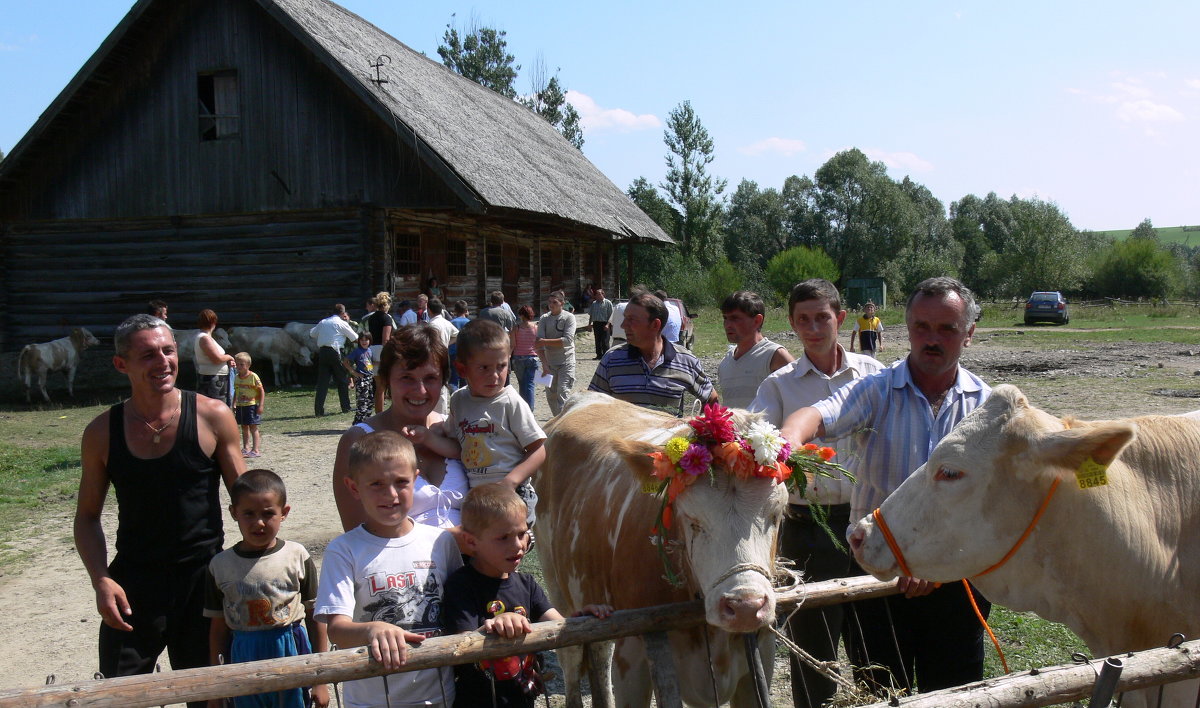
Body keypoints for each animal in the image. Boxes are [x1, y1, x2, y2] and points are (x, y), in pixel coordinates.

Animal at [542, 393, 787, 708]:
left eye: (776, 514)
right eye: (692, 521)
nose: (745, 606)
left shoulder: (760, 655)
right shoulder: (632, 658)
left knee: (598, 653)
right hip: (558, 589)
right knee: (571, 656)